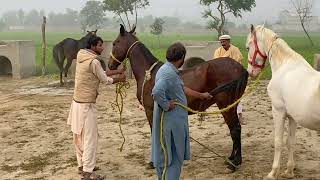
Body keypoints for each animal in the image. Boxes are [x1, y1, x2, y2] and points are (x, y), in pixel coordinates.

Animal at [109, 24, 249, 169]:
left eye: (115, 43)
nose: (110, 65)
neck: (149, 74)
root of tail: (240, 68)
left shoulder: (150, 110)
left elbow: (155, 133)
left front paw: (154, 162)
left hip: (226, 106)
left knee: (235, 129)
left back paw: (235, 162)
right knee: (235, 128)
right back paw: (232, 158)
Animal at [246, 24, 320, 179]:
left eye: (248, 47)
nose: (251, 72)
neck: (285, 65)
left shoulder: (278, 111)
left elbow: (278, 141)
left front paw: (273, 172)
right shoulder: (292, 116)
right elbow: (290, 142)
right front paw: (289, 171)